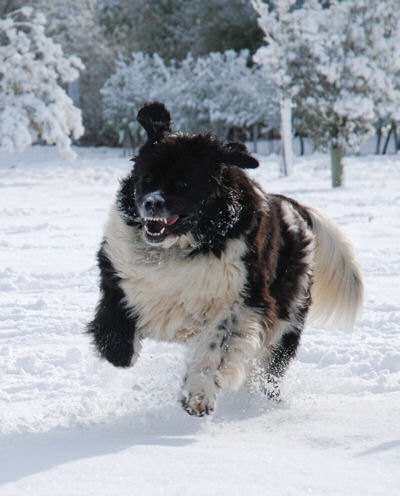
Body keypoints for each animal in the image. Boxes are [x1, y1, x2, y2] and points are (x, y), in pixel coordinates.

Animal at [87, 102, 362, 416]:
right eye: (147, 179)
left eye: (183, 184)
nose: (152, 203)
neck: (180, 247)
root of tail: (291, 208)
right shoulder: (119, 272)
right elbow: (114, 319)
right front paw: (117, 349)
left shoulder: (243, 301)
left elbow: (216, 345)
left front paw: (198, 394)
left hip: (286, 317)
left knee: (268, 368)